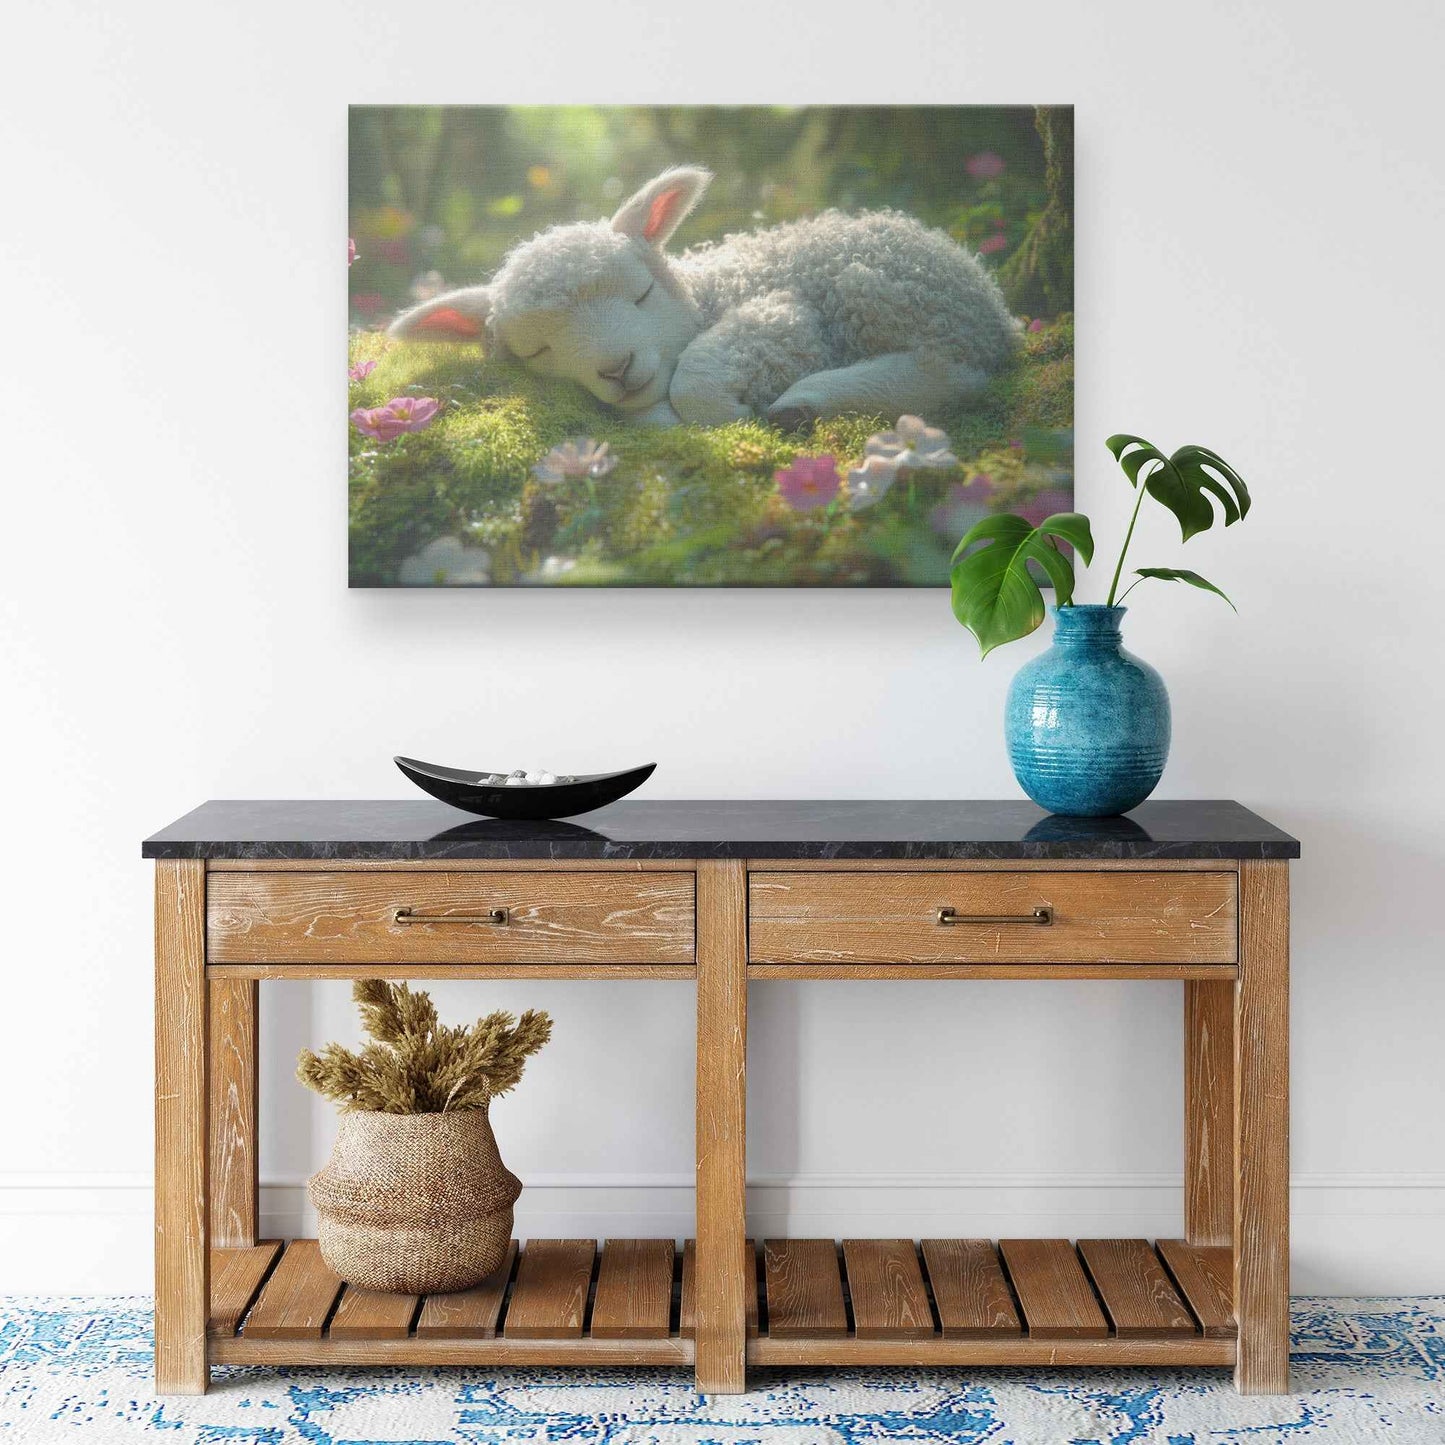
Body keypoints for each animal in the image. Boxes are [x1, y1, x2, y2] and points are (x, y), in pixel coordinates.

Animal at [388, 166, 1020, 429]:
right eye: (536, 352)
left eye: (641, 294)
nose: (617, 368)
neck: (707, 291)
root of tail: (996, 307)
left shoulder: (783, 314)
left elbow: (697, 380)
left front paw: (720, 410)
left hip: (889, 293)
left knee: (949, 372)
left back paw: (809, 400)